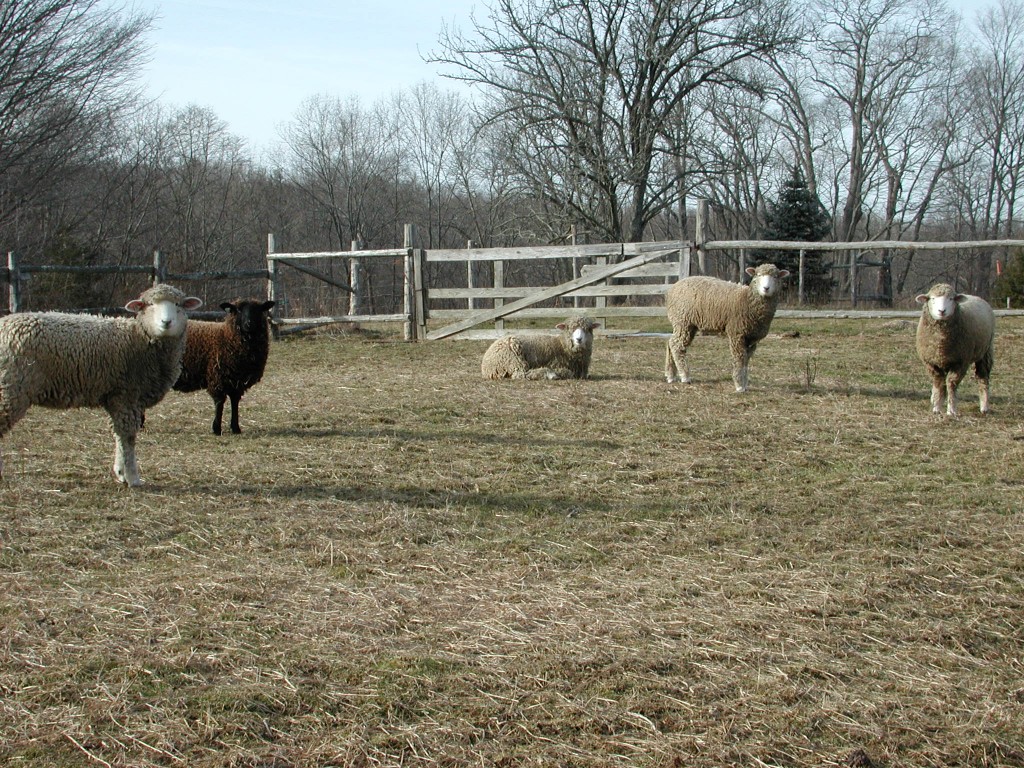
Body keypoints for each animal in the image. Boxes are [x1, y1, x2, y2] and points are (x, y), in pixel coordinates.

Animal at [0, 284, 202, 485]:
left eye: (178, 304)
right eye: (149, 304)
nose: (166, 322)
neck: (140, 339)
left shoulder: (117, 399)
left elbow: (119, 435)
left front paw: (121, 473)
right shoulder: (127, 395)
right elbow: (128, 436)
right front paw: (133, 478)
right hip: (11, 389)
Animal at [173, 298, 275, 435]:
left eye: (258, 310)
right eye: (238, 310)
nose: (249, 324)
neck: (225, 336)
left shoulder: (237, 380)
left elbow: (235, 402)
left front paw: (236, 428)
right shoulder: (218, 376)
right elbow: (219, 402)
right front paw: (216, 428)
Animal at [665, 263, 790, 392]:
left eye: (775, 277)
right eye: (758, 275)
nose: (766, 288)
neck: (747, 301)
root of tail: (672, 289)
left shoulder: (752, 339)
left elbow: (746, 360)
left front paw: (745, 383)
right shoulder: (737, 333)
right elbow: (739, 358)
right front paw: (739, 386)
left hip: (688, 326)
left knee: (671, 342)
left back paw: (671, 375)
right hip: (682, 321)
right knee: (676, 346)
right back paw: (685, 376)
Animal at [915, 283, 995, 417]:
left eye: (951, 299)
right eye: (932, 298)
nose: (942, 311)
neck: (941, 344)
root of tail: (974, 296)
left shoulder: (960, 363)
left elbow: (951, 384)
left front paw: (951, 410)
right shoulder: (931, 363)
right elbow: (939, 383)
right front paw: (937, 407)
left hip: (985, 352)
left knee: (983, 378)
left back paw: (984, 407)